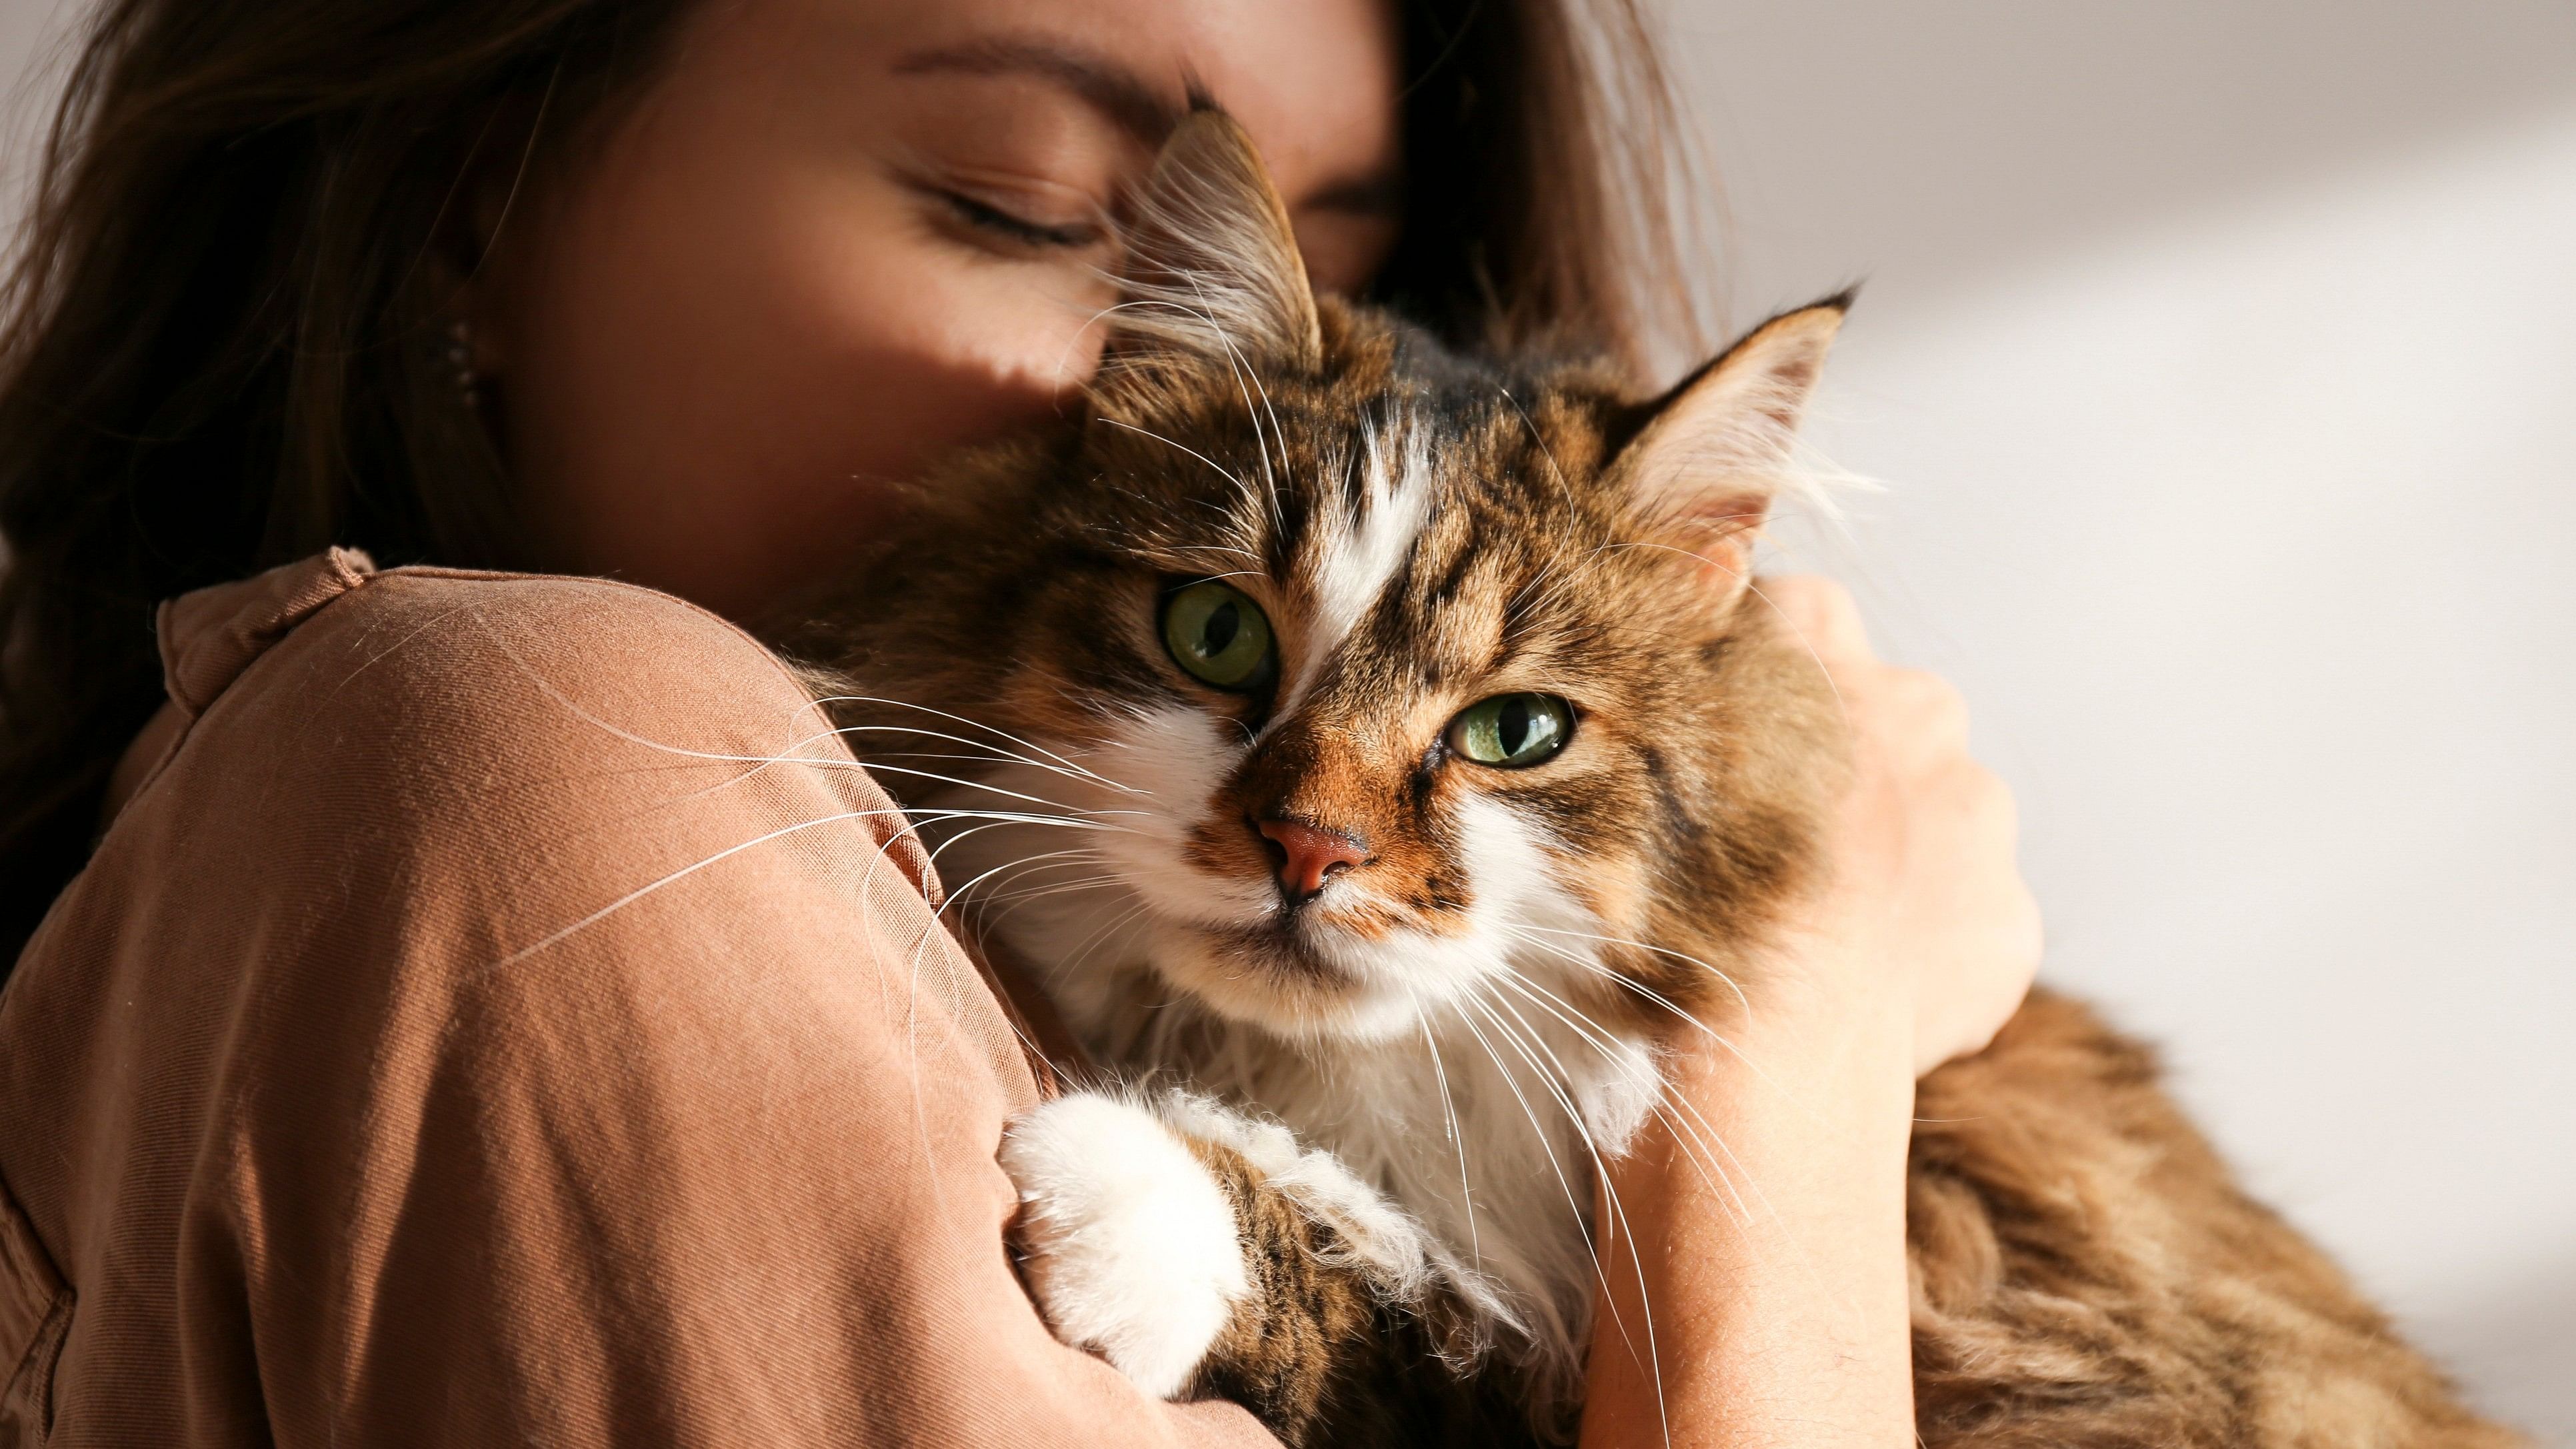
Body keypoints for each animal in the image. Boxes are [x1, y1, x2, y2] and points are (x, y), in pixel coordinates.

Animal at [773, 116, 2524, 1449]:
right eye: (1216, 634)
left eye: (1516, 734)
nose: (1308, 848)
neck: (1349, 1092)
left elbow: (1392, 1304)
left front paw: (1130, 1194)